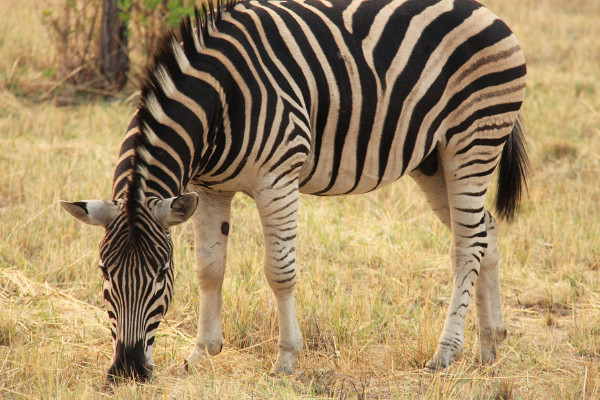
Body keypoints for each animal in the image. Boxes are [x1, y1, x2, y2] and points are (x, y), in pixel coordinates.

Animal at [62, 0, 528, 382]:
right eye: (104, 272)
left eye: (160, 274)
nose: (128, 370)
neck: (219, 100)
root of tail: (486, 12)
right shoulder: (207, 189)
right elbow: (209, 267)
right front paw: (202, 353)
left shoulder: (277, 179)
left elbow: (279, 271)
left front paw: (286, 358)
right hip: (433, 160)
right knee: (484, 231)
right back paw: (490, 345)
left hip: (473, 142)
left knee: (466, 246)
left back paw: (445, 354)